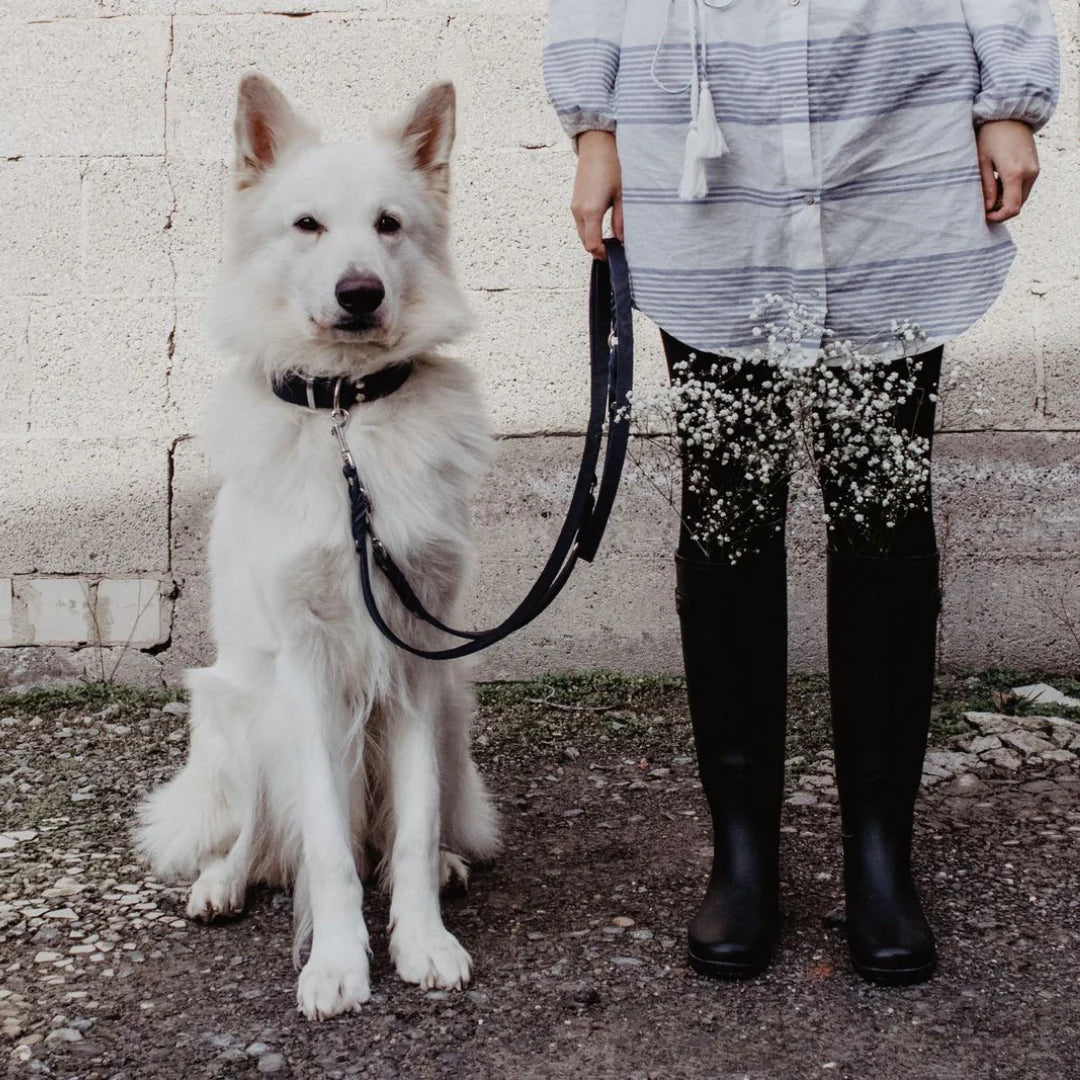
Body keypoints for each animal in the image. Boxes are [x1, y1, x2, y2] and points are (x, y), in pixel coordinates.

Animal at [136, 73, 501, 1019]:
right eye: (306, 226)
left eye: (388, 224)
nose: (361, 292)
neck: (348, 415)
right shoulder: (305, 670)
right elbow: (329, 850)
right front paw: (337, 964)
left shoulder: (414, 661)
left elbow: (410, 830)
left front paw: (422, 941)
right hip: (243, 710)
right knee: (264, 833)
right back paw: (224, 881)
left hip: (453, 709)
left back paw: (445, 867)